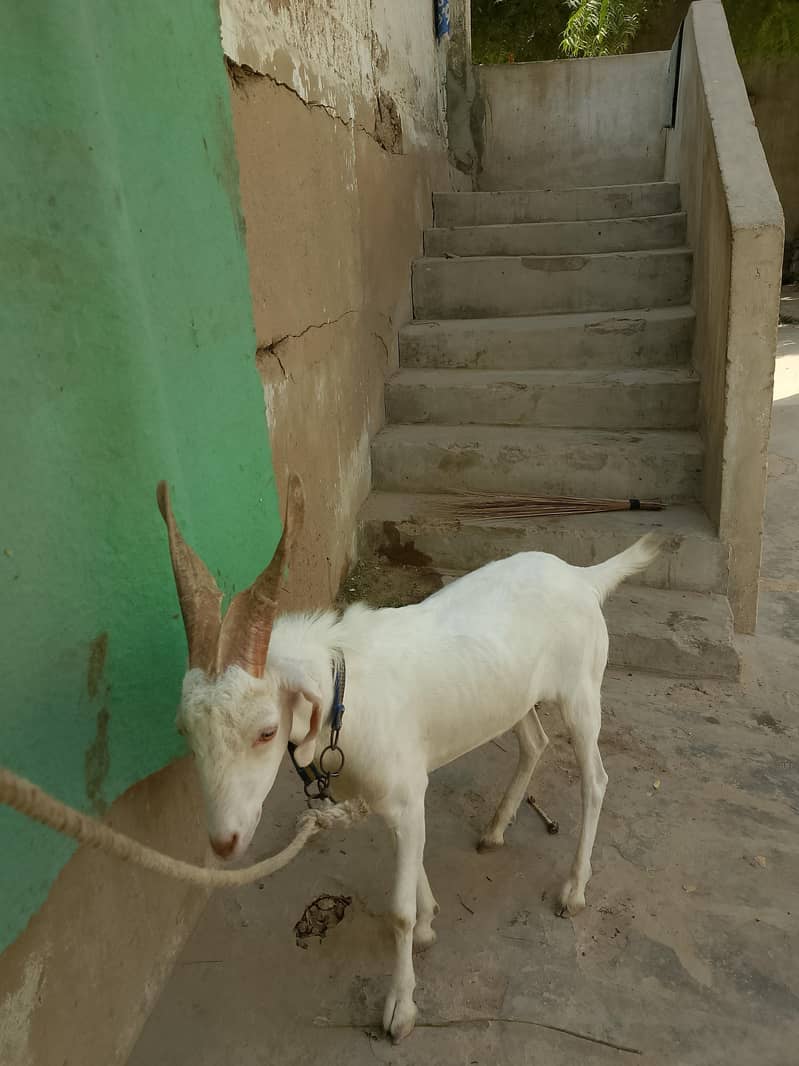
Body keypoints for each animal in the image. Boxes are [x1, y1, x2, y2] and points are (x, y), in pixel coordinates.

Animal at [157, 476, 660, 1042]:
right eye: (185, 731)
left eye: (266, 731)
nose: (225, 841)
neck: (347, 695)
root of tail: (581, 576)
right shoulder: (397, 795)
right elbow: (414, 857)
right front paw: (428, 920)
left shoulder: (403, 792)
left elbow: (395, 911)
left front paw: (401, 1006)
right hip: (513, 698)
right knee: (535, 743)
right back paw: (496, 829)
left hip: (581, 692)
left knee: (595, 780)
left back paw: (573, 888)